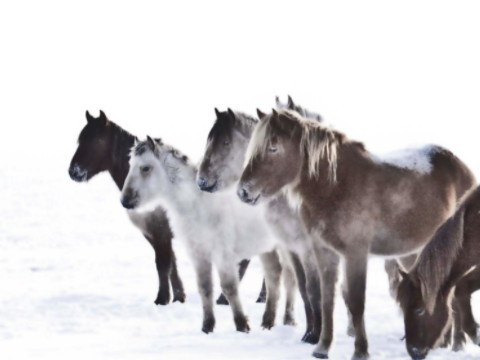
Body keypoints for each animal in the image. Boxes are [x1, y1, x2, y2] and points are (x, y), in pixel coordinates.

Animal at [119, 137, 292, 332]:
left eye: (145, 168)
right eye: (131, 165)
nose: (125, 200)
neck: (198, 207)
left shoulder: (223, 256)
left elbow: (229, 288)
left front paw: (242, 325)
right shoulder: (199, 256)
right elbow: (205, 288)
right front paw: (208, 326)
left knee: (290, 280)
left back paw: (289, 321)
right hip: (266, 248)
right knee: (273, 276)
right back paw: (268, 322)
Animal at [195, 96, 338, 344]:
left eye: (225, 143)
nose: (201, 181)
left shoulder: (306, 247)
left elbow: (313, 288)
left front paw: (314, 335)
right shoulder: (290, 246)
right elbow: (302, 287)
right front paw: (309, 332)